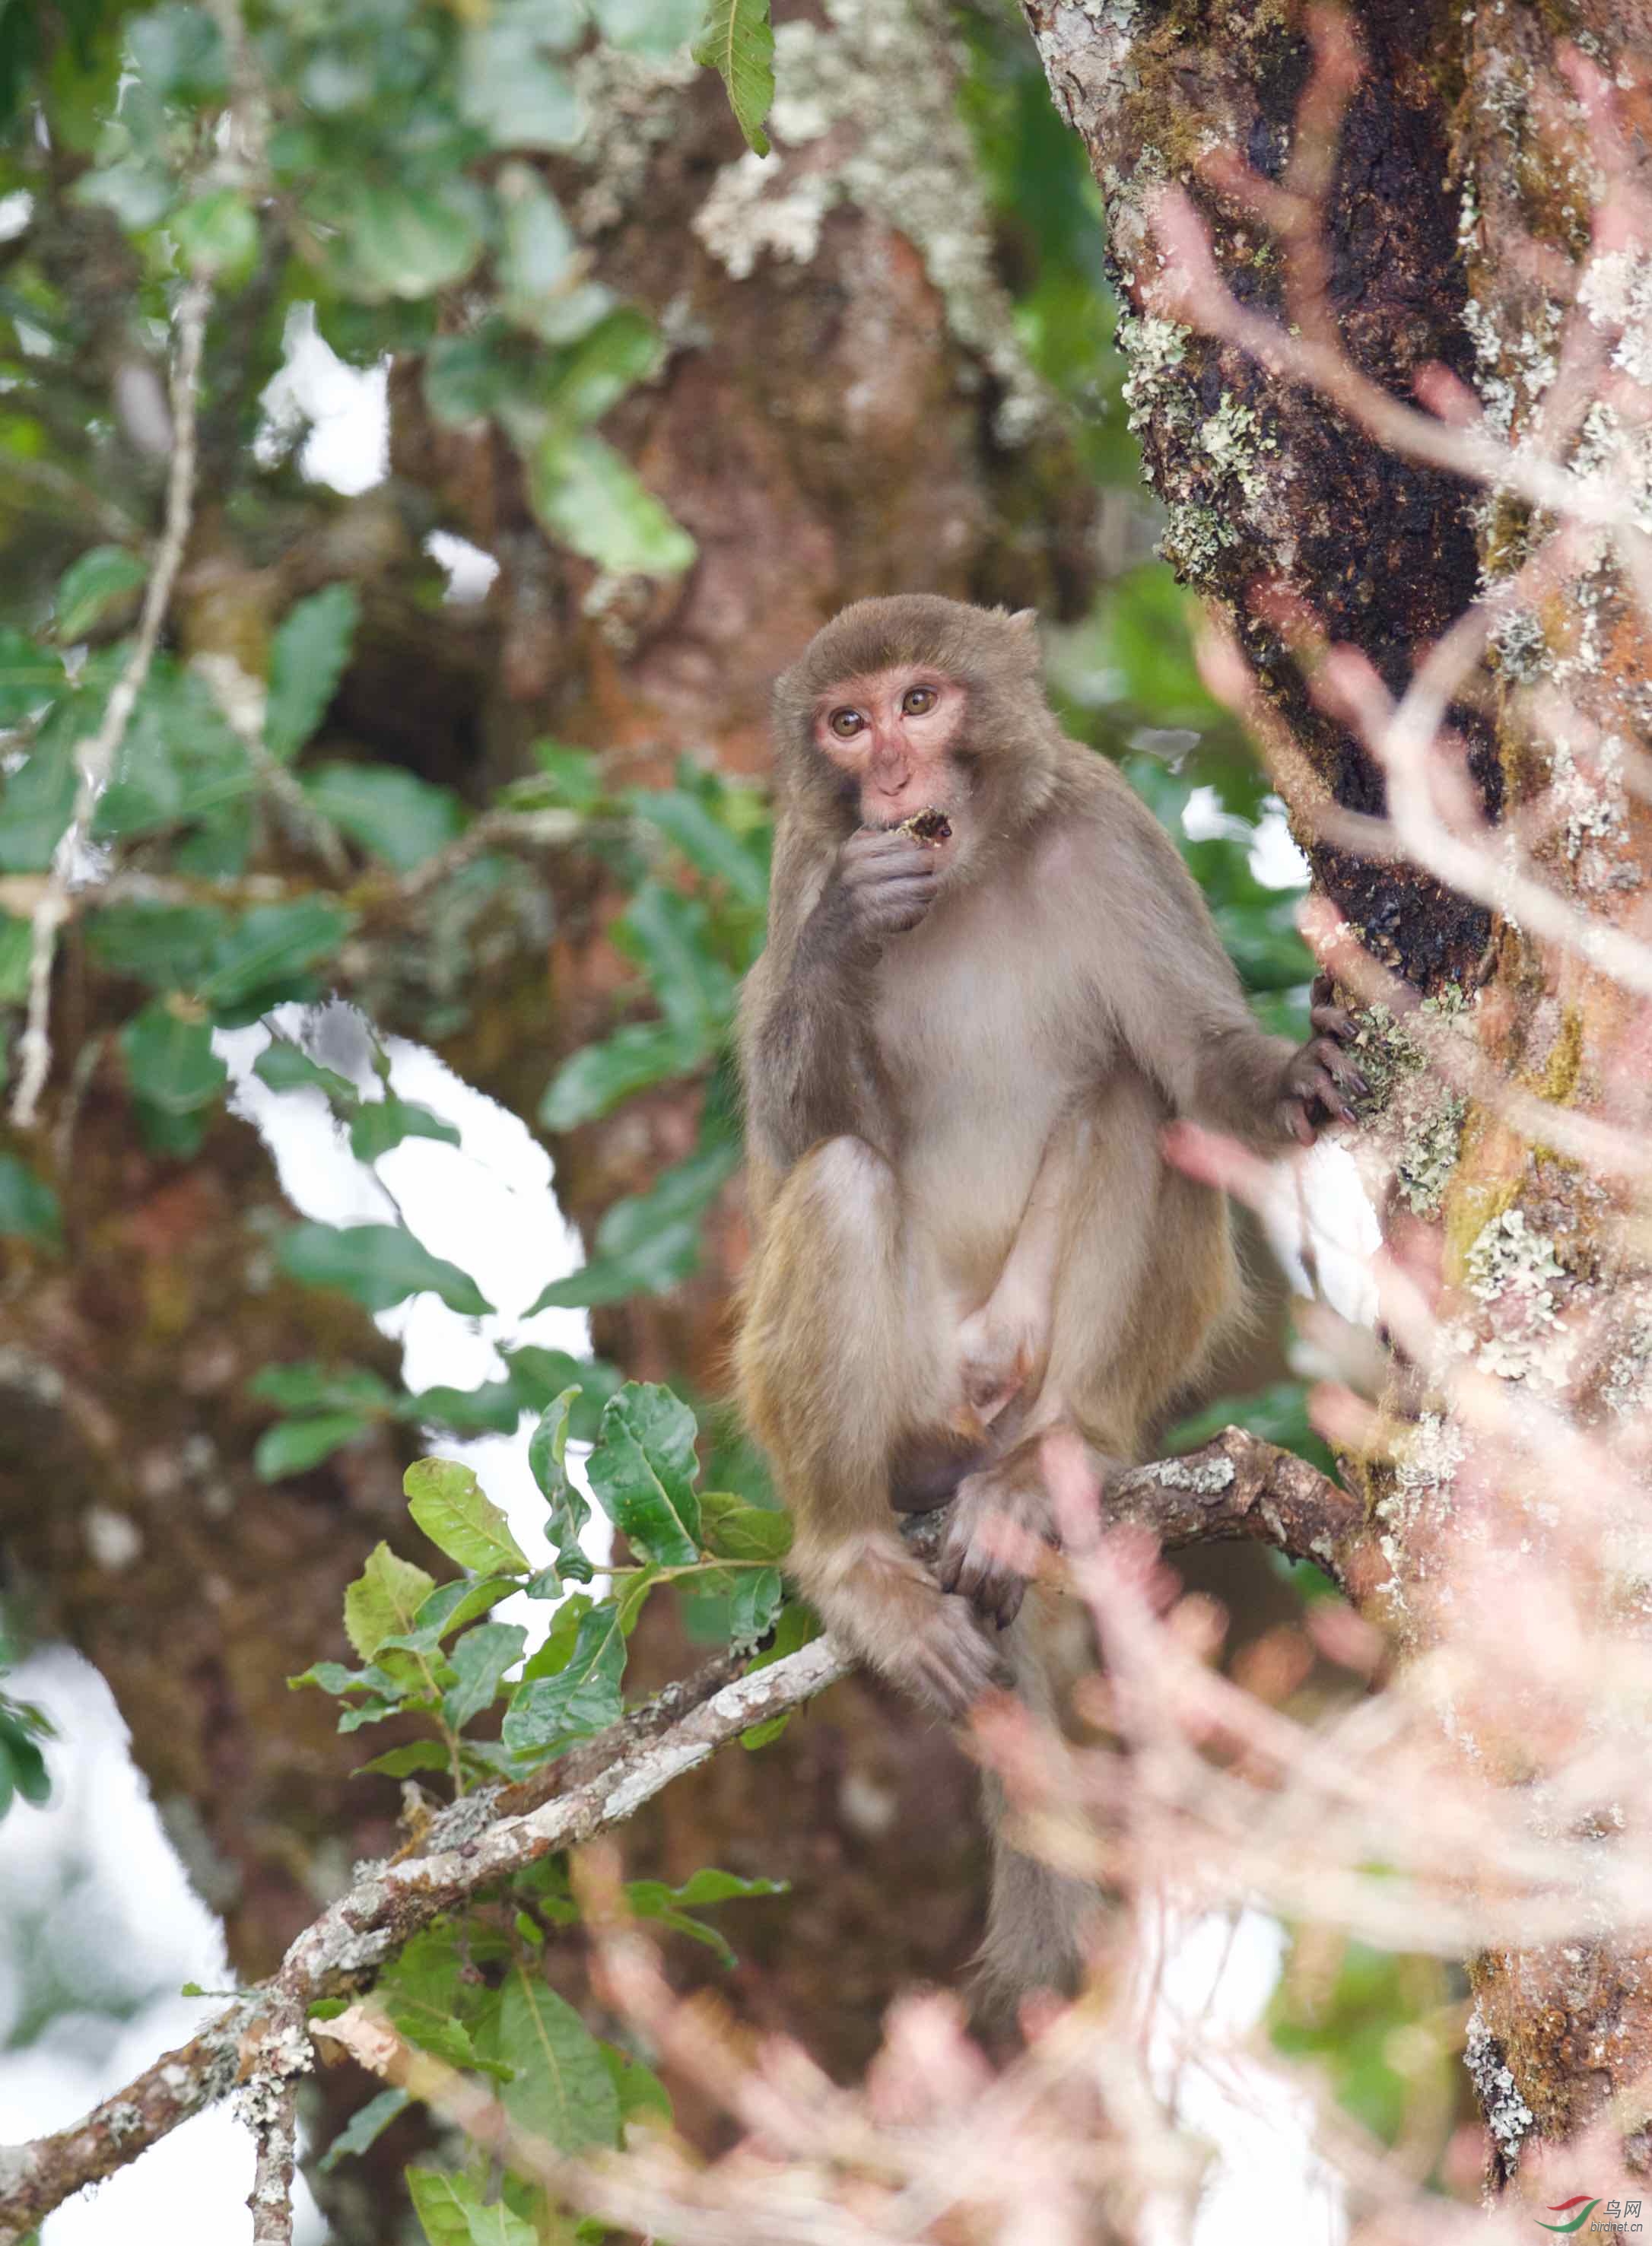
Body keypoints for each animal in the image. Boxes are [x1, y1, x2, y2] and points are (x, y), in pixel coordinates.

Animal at [735, 597, 1355, 2003]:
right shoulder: (799, 862)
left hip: (1019, 1358)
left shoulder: (1111, 833)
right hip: (914, 1393)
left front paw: (1286, 1076)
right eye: (846, 721)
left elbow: (1195, 1064)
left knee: (1141, 1098)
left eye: (918, 701)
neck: (965, 875)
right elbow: (795, 1137)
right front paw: (854, 926)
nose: (889, 775)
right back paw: (856, 1556)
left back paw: (1054, 1461)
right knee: (843, 1178)